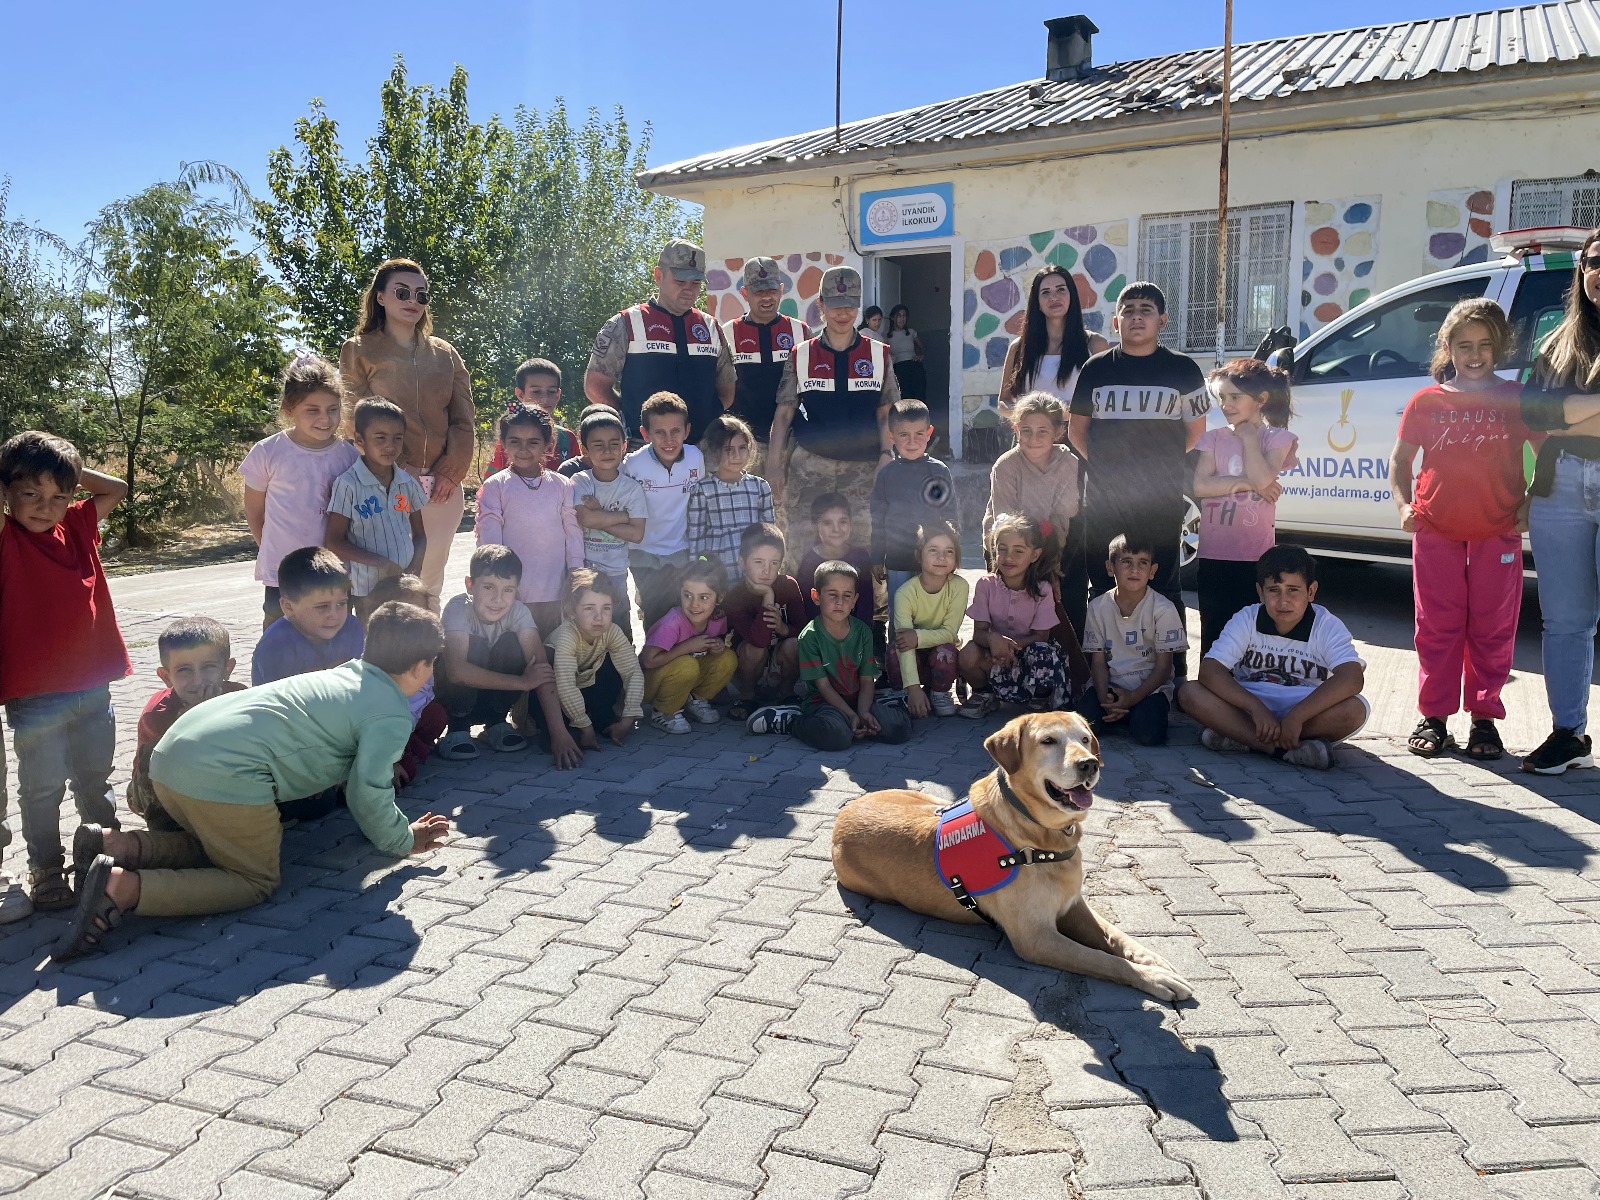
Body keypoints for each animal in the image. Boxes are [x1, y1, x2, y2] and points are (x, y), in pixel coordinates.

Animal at [832, 713, 1196, 1004]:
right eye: (1048, 741)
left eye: (1085, 739)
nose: (1089, 763)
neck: (1038, 838)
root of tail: (842, 815)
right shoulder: (1036, 938)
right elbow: (1104, 959)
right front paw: (1153, 978)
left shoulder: (1074, 906)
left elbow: (1116, 938)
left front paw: (1153, 960)